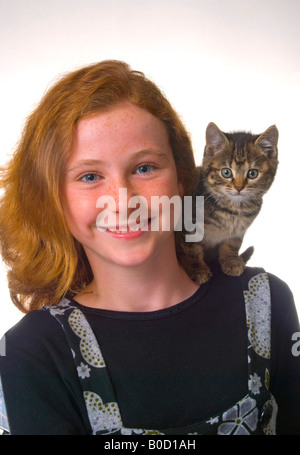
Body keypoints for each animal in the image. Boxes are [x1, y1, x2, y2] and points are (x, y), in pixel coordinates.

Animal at [183, 123, 278, 284]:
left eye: (252, 173)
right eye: (226, 172)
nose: (239, 187)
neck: (231, 209)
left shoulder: (239, 229)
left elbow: (232, 244)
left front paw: (231, 261)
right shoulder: (189, 223)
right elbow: (192, 248)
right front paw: (197, 268)